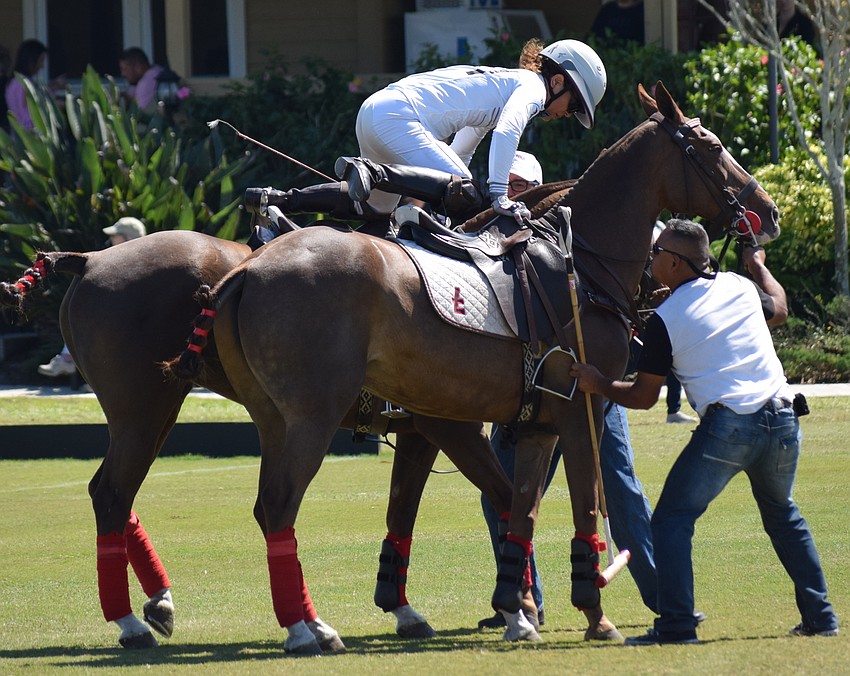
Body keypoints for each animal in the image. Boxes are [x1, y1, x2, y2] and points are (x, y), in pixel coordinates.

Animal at [163, 81, 779, 655]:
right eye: (712, 145)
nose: (768, 212)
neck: (584, 264)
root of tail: (248, 268)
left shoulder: (523, 424)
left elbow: (517, 508)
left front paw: (515, 609)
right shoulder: (579, 410)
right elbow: (582, 506)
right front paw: (592, 614)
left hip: (273, 419)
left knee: (269, 506)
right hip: (312, 417)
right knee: (280, 505)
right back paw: (303, 628)